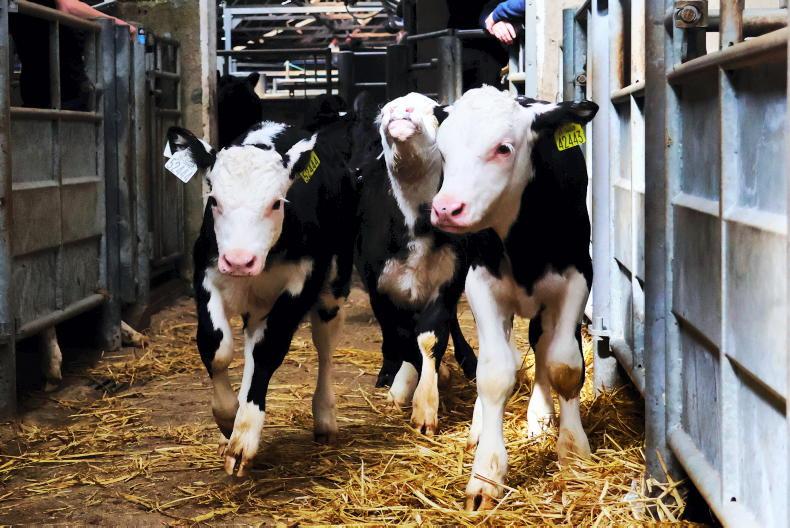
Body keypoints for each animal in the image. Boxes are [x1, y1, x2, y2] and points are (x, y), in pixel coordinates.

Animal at [166, 116, 357, 477]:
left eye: (276, 203)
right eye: (214, 200)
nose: (240, 261)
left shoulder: (301, 284)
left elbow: (268, 352)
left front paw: (243, 438)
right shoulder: (206, 273)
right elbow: (217, 346)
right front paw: (228, 418)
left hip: (333, 288)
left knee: (325, 348)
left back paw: (325, 419)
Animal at [353, 92, 479, 435]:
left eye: (435, 112)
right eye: (386, 111)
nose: (401, 111)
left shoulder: (449, 281)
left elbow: (432, 336)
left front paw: (425, 406)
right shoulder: (379, 287)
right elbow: (402, 336)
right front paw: (402, 386)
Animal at [430, 86, 598, 510]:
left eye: (503, 148)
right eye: (443, 151)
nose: (446, 208)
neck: (525, 242)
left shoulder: (578, 276)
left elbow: (564, 364)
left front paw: (573, 451)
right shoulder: (480, 283)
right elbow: (493, 374)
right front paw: (486, 473)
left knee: (541, 342)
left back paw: (540, 417)